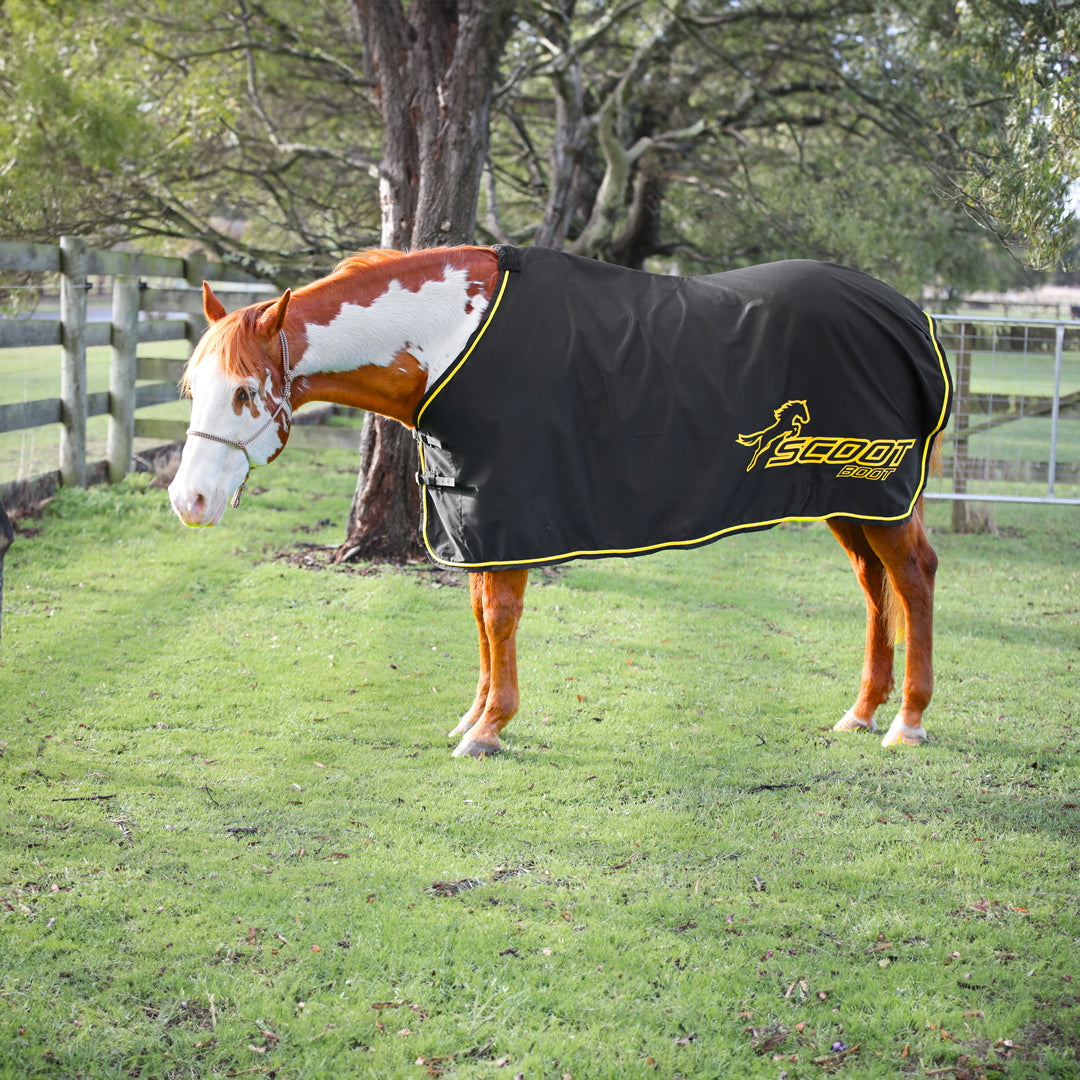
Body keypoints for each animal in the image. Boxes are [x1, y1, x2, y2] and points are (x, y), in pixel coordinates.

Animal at [169, 245, 950, 758]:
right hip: (849, 502)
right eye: (190, 388)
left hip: (877, 496)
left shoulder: (511, 512)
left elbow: (500, 616)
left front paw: (490, 729)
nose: (189, 500)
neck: (451, 339)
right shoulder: (477, 517)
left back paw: (907, 722)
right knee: (875, 588)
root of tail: (910, 314)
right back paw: (860, 712)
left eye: (245, 392)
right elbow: (481, 616)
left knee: (913, 580)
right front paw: (474, 718)